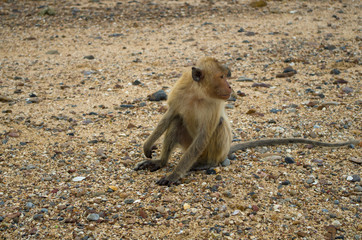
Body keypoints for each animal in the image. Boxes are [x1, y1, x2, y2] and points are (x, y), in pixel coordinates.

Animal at [135, 57, 360, 186]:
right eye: (222, 76)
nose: (230, 86)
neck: (198, 94)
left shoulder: (214, 105)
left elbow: (205, 133)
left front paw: (175, 174)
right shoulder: (180, 92)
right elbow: (171, 115)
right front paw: (149, 147)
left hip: (212, 152)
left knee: (216, 128)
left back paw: (206, 164)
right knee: (178, 121)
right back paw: (162, 162)